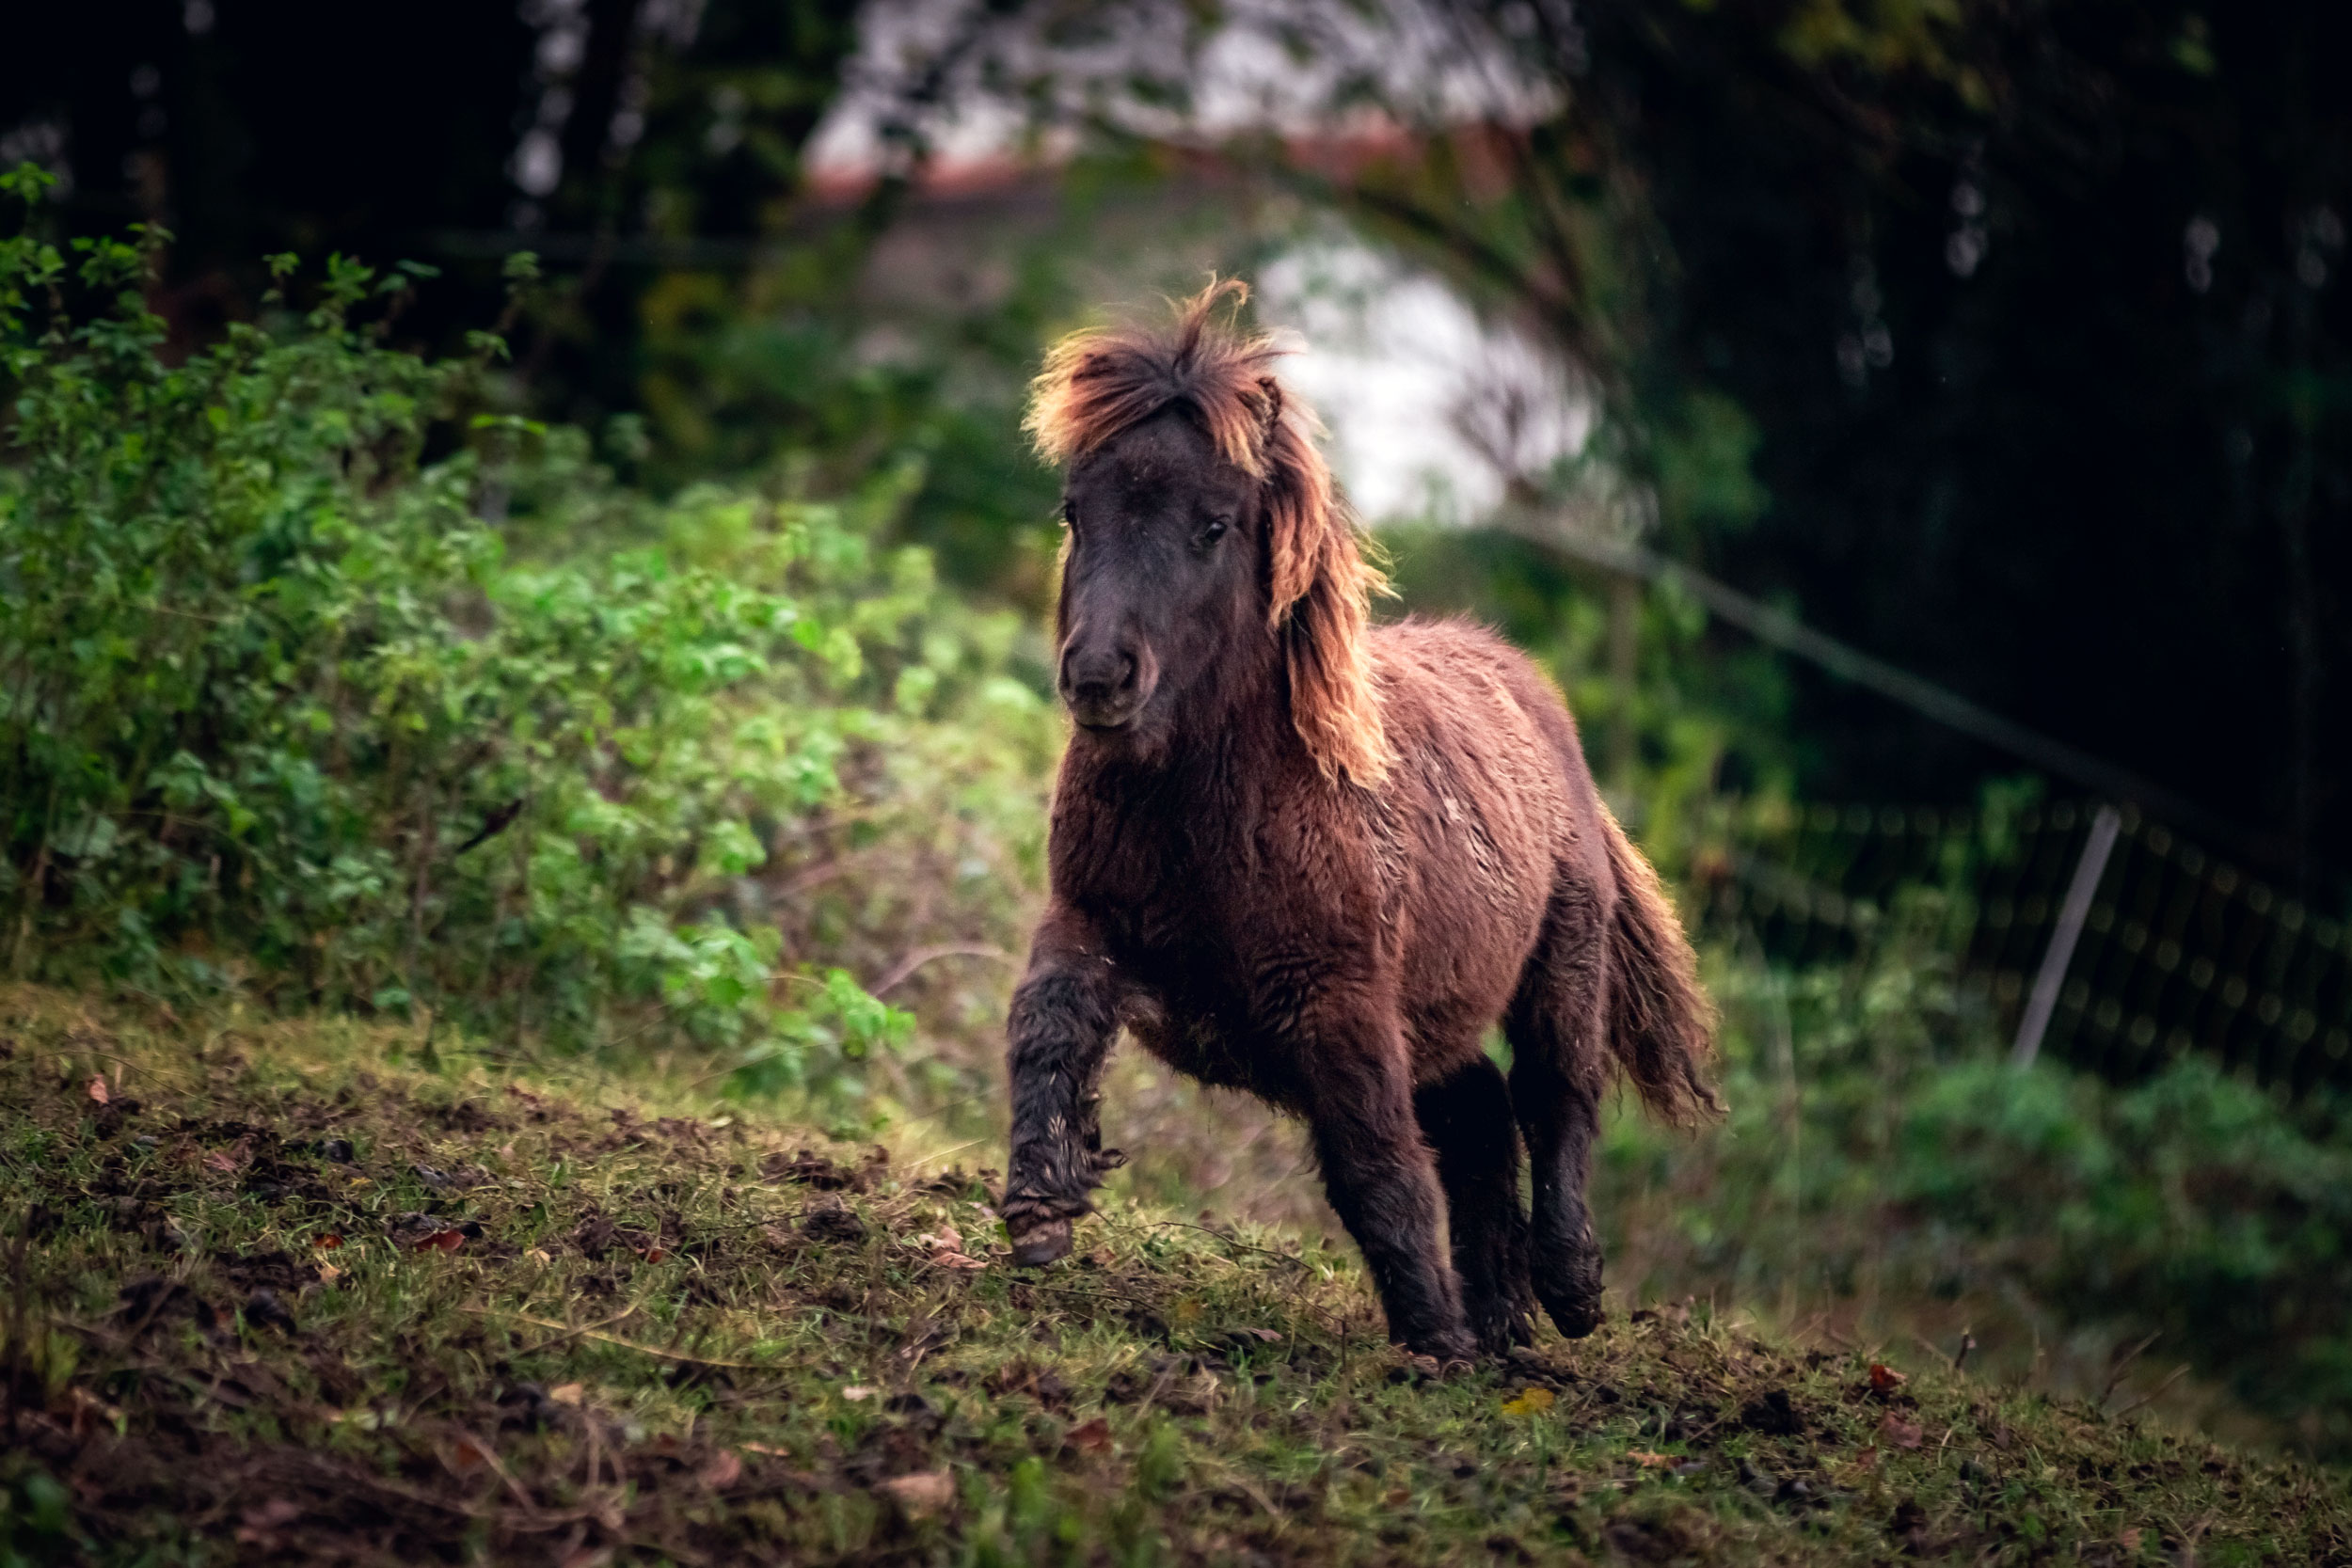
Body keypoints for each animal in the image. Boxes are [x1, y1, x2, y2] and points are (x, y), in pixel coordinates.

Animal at [997, 281, 1719, 1362]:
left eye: (1215, 524)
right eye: (1075, 511)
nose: (1099, 677)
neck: (1209, 821)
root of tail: (1532, 696)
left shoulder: (1336, 1001)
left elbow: (1377, 1168)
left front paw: (1434, 1340)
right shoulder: (1092, 925)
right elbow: (1044, 1029)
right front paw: (1040, 1209)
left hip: (1562, 962)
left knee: (1556, 1098)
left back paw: (1567, 1290)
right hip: (1437, 1017)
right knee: (1480, 1115)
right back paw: (1503, 1320)